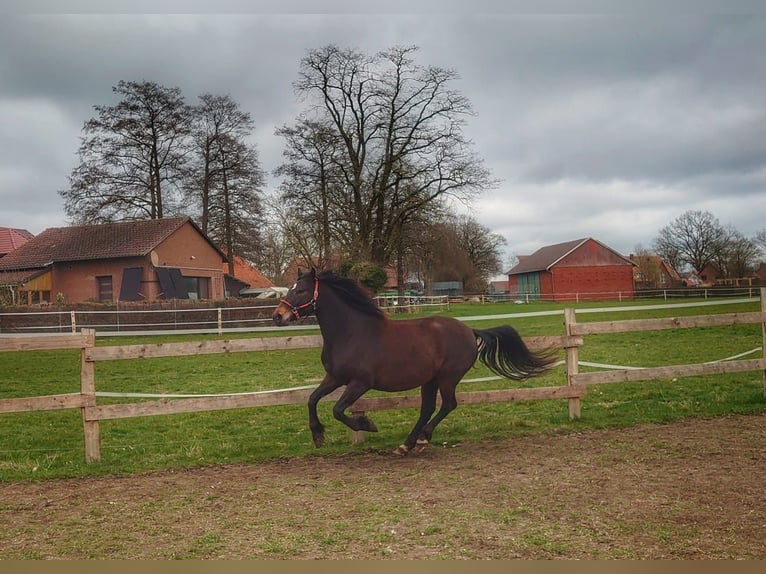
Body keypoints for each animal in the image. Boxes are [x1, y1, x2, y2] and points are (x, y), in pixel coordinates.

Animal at [272, 269, 555, 455]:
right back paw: (406, 444)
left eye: (301, 291)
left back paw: (421, 439)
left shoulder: (360, 383)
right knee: (428, 408)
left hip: (447, 377)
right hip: (429, 380)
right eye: (290, 289)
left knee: (448, 405)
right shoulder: (334, 377)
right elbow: (312, 399)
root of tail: (470, 330)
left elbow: (338, 410)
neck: (351, 333)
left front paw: (367, 424)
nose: (278, 316)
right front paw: (318, 435)